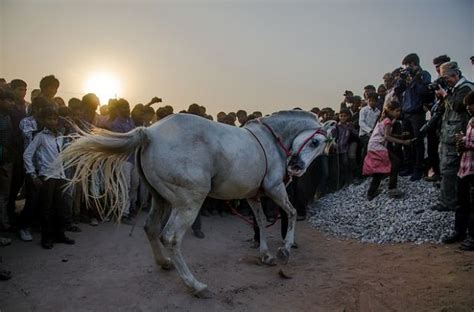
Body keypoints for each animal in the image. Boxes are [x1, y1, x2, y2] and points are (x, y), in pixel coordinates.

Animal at [59, 109, 336, 298]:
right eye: (315, 141)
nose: (297, 167)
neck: (271, 142)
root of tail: (149, 133)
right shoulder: (275, 188)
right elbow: (291, 212)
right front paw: (285, 250)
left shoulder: (253, 195)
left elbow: (258, 220)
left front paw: (265, 254)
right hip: (188, 202)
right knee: (170, 237)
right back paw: (196, 285)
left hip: (160, 198)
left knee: (151, 228)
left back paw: (165, 264)